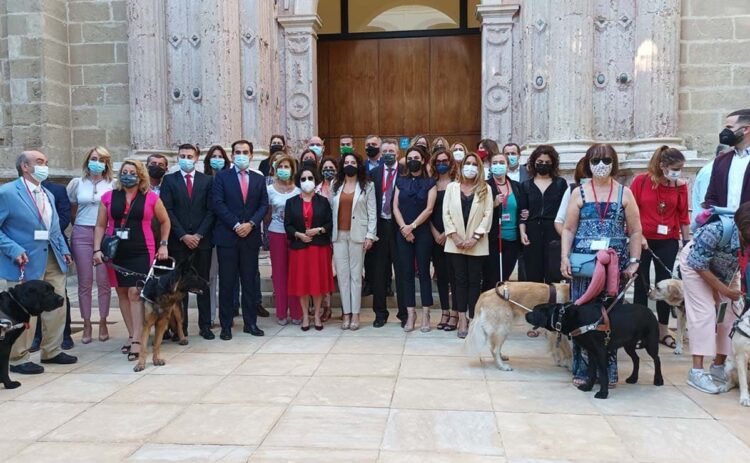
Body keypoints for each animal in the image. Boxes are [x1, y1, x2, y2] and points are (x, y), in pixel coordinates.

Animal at [528, 304, 664, 398]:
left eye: (534, 311)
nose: (526, 314)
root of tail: (650, 311)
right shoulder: (591, 352)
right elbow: (591, 372)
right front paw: (587, 387)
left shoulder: (600, 351)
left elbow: (603, 374)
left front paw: (603, 393)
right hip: (629, 345)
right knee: (636, 359)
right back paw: (633, 378)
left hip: (651, 343)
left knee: (657, 359)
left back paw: (658, 380)